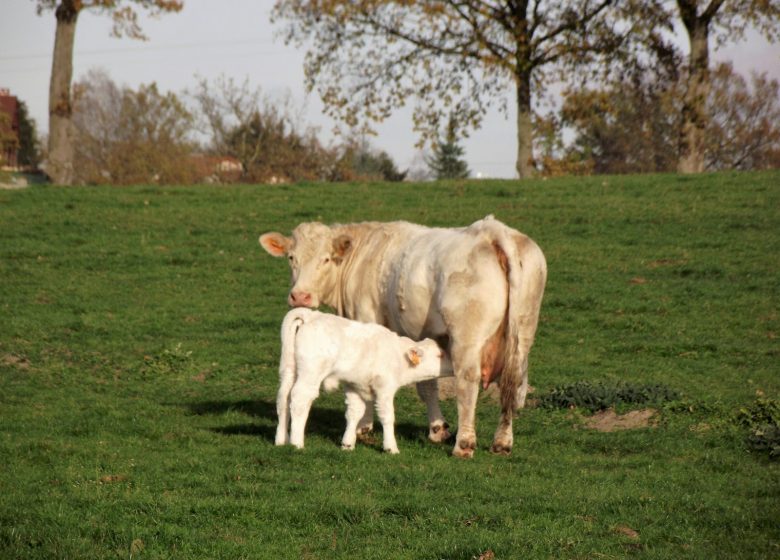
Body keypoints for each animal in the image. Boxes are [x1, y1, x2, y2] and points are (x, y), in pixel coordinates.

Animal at [276, 306, 454, 456]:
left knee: (284, 398)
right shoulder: (384, 389)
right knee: (300, 399)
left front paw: (347, 444)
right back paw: (296, 443)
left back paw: (281, 440)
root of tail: (312, 315)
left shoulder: (354, 385)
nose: (454, 365)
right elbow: (387, 416)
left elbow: (354, 413)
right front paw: (391, 447)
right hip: (310, 373)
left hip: (289, 369)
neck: (397, 355)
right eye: (439, 355)